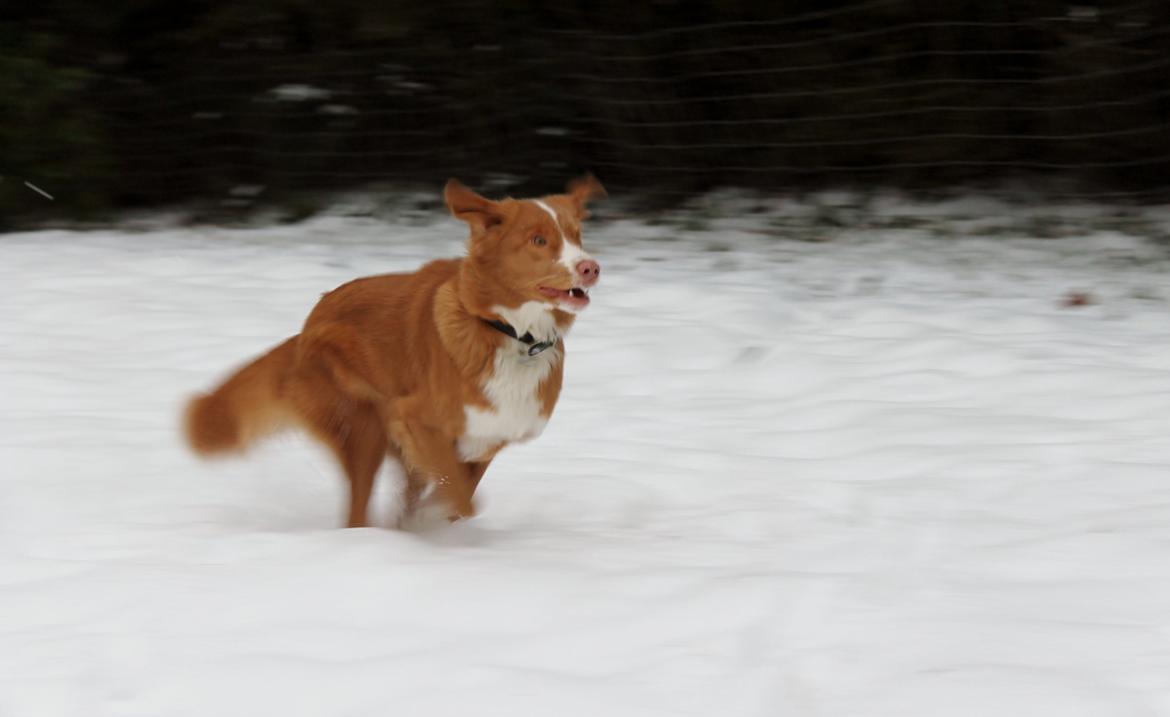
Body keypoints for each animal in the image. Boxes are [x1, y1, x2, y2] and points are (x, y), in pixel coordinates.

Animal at [187, 174, 608, 526]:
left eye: (577, 235)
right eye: (538, 240)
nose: (591, 268)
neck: (513, 335)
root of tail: (305, 331)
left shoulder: (487, 439)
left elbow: (460, 495)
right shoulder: (413, 419)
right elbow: (461, 498)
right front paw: (429, 524)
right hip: (363, 429)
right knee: (356, 513)